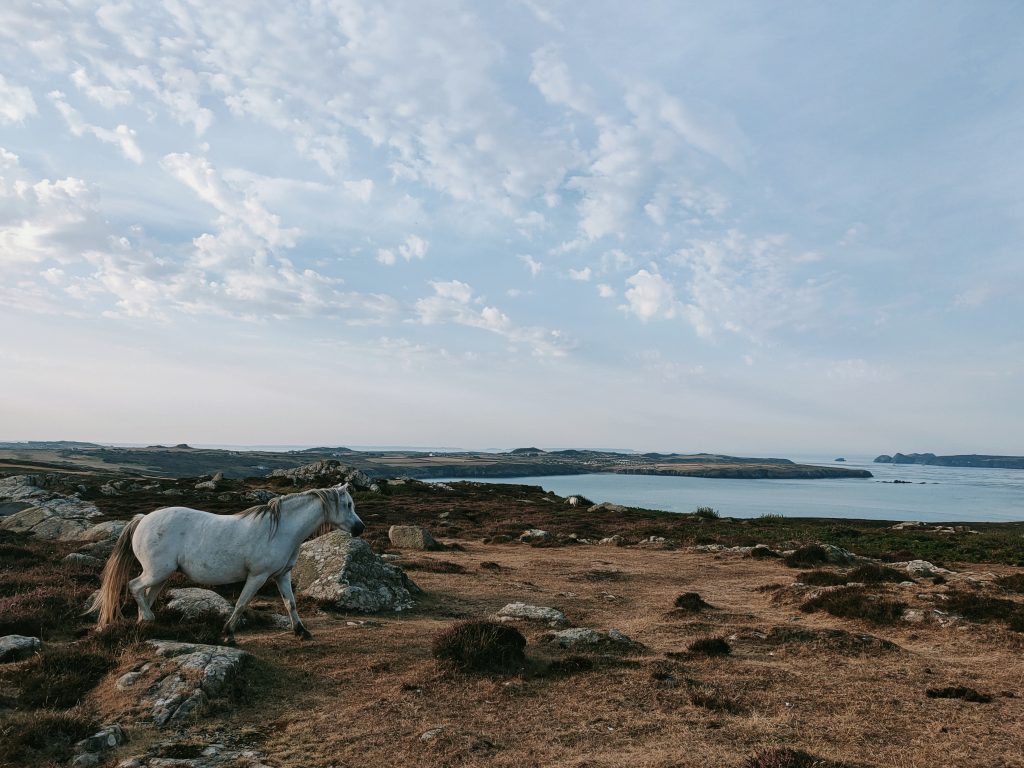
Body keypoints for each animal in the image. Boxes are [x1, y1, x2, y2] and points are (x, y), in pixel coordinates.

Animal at [91, 487, 364, 643]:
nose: (360, 528)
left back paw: (146, 625)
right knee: (135, 586)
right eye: (348, 504)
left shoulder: (281, 575)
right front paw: (228, 633)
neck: (280, 530)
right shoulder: (258, 576)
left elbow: (291, 603)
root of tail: (143, 519)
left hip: (160, 575)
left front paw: (302, 632)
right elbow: (242, 603)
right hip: (157, 571)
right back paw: (148, 619)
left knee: (145, 594)